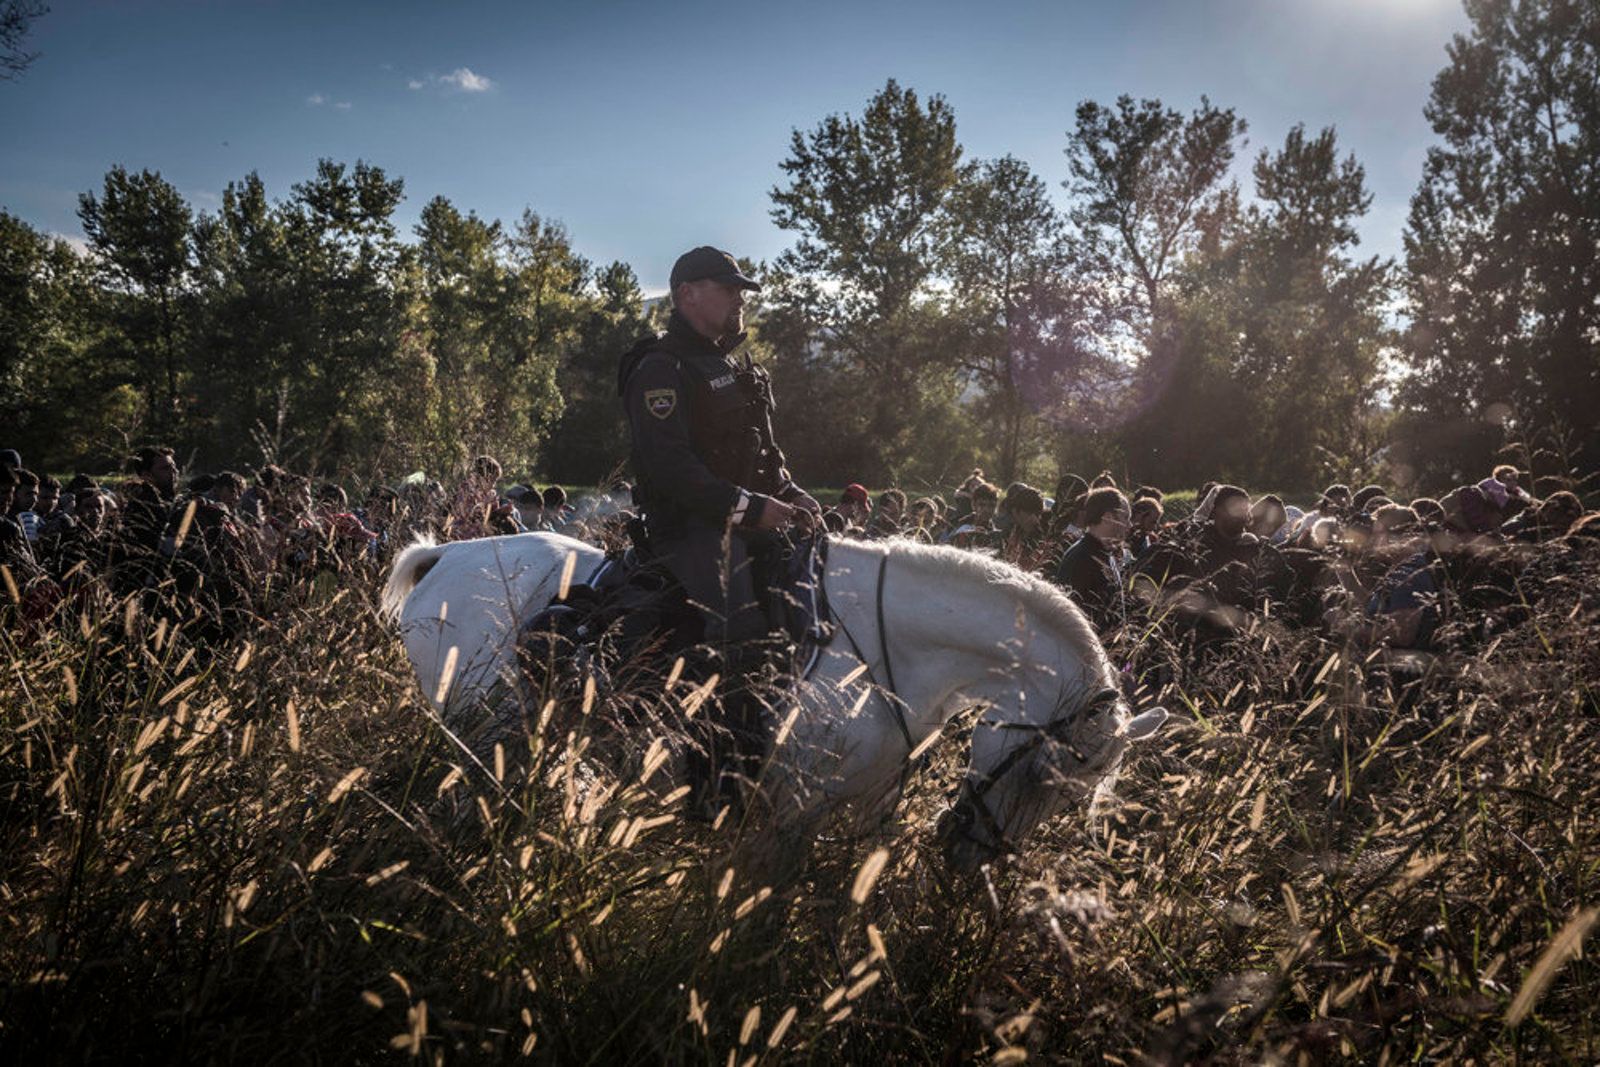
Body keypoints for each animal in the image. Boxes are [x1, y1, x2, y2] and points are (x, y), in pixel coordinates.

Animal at [382, 531, 1171, 870]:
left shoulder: (863, 816)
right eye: (1045, 775)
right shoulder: (787, 817)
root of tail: (449, 553)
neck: (884, 653)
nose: (970, 864)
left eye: (1074, 802)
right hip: (477, 735)